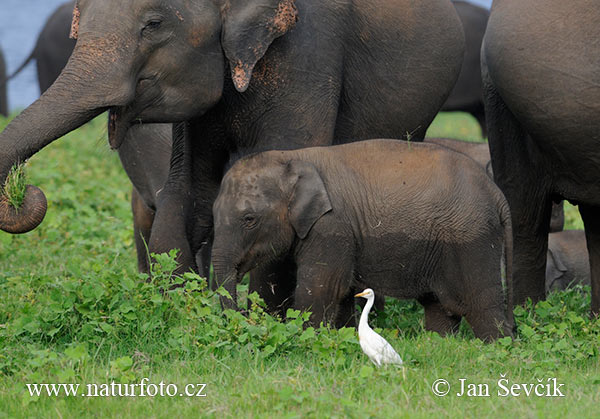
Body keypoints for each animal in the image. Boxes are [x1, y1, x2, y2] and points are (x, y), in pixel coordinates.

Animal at [211, 139, 516, 342]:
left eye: (249, 219)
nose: (242, 320)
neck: (292, 156)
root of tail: (497, 194)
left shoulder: (332, 227)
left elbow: (322, 287)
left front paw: (306, 338)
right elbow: (343, 291)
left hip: (471, 240)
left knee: (482, 306)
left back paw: (499, 347)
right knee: (439, 307)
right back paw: (437, 343)